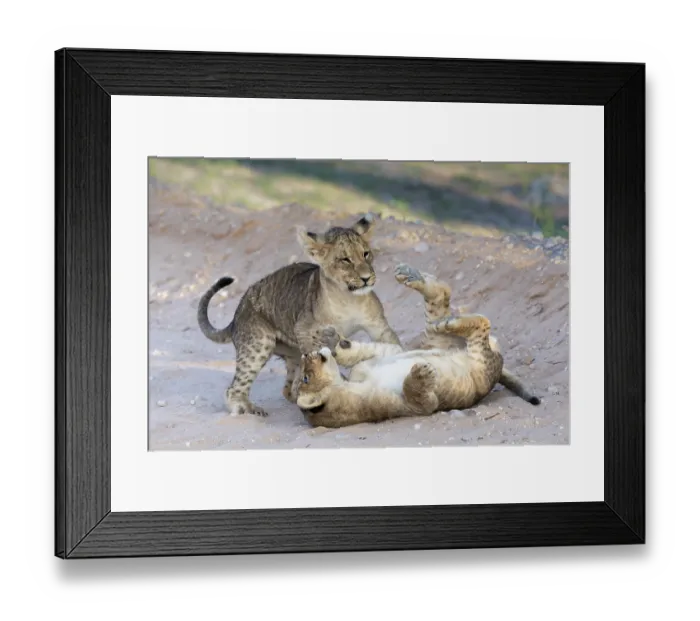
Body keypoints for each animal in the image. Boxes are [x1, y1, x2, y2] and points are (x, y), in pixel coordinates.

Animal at [197, 213, 400, 416]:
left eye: (365, 253)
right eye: (345, 259)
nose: (367, 278)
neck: (348, 299)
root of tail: (235, 315)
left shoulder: (377, 325)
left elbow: (392, 344)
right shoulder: (304, 329)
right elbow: (319, 357)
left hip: (293, 354)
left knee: (289, 388)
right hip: (258, 343)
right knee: (235, 386)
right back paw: (244, 408)